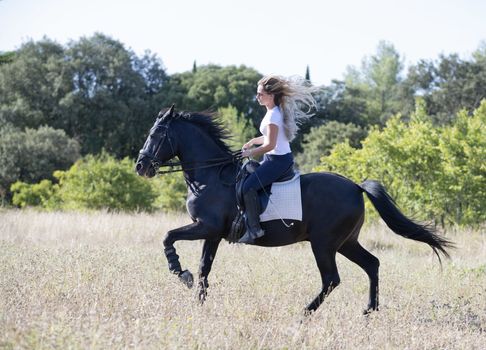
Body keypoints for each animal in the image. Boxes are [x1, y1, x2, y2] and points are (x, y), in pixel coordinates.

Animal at [134, 106, 452, 314]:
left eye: (156, 134)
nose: (140, 166)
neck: (210, 176)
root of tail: (355, 186)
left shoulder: (206, 227)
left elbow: (168, 237)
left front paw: (179, 272)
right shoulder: (212, 234)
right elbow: (203, 268)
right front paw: (198, 301)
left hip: (324, 243)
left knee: (332, 279)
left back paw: (305, 313)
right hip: (346, 242)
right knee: (372, 264)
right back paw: (369, 311)